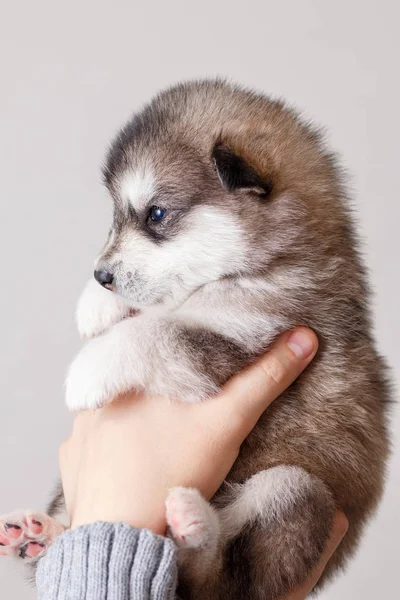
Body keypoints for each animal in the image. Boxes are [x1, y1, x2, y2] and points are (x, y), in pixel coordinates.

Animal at [0, 81, 390, 600]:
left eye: (156, 214)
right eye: (116, 216)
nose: (101, 275)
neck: (267, 261)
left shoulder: (245, 331)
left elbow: (156, 330)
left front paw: (87, 370)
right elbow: (154, 310)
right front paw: (96, 304)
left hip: (294, 489)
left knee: (218, 576)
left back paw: (194, 529)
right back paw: (40, 534)